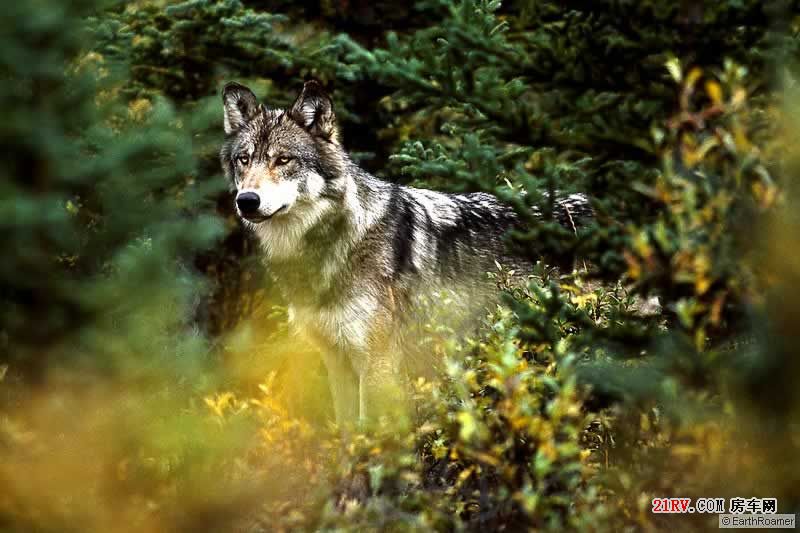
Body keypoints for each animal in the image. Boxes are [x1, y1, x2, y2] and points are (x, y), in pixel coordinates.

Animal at [219, 81, 592, 426]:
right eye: (244, 159)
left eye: (283, 159)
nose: (247, 201)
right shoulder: (336, 360)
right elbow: (347, 436)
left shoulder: (377, 361)